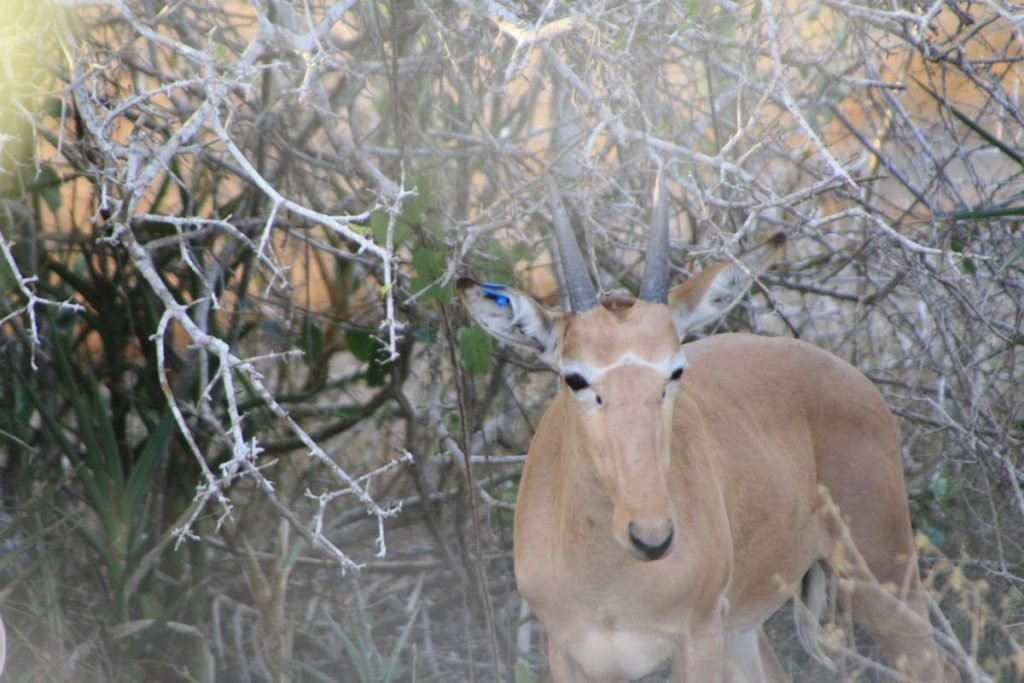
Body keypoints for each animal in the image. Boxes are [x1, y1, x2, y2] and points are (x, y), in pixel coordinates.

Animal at [458, 179, 950, 679]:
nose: (652, 535)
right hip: (743, 631)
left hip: (881, 578)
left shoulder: (696, 638)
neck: (607, 584)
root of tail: (851, 377)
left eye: (675, 370)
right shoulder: (567, 654)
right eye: (575, 377)